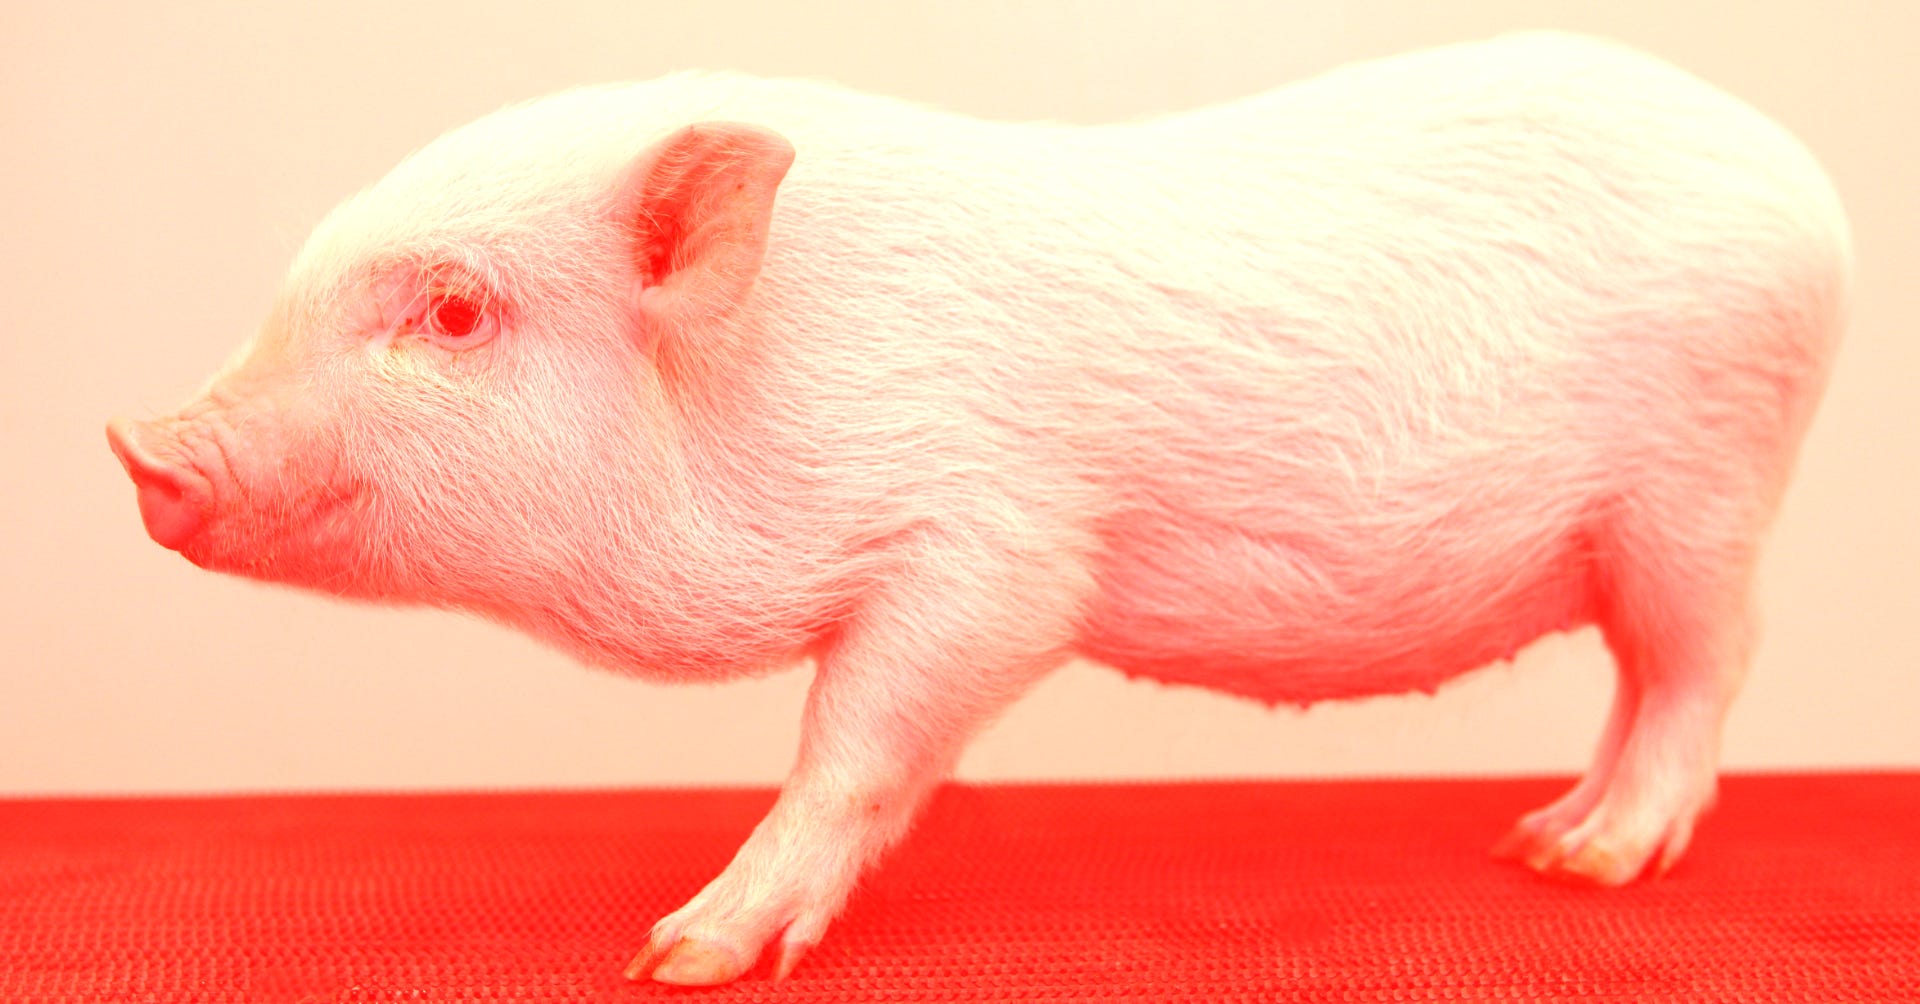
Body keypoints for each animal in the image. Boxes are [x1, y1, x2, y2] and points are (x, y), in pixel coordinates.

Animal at [107, 31, 1849, 985]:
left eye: (458, 314)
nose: (137, 442)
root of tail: (1808, 187)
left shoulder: (992, 550)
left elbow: (861, 738)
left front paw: (682, 954)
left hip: (1699, 497)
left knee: (1706, 669)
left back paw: (1593, 864)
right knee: (1645, 686)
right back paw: (1531, 843)